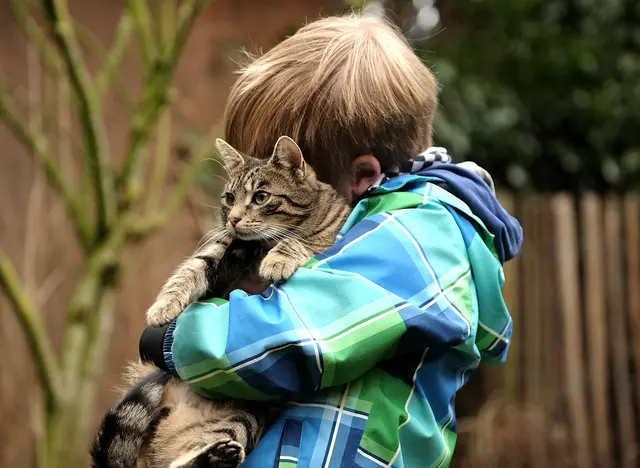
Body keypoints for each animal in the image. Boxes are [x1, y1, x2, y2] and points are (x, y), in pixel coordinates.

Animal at [90, 136, 350, 468]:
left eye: (261, 197)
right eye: (229, 197)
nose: (233, 218)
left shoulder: (324, 238)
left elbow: (300, 240)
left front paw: (278, 259)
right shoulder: (220, 247)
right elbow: (190, 270)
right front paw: (163, 306)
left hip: (244, 418)